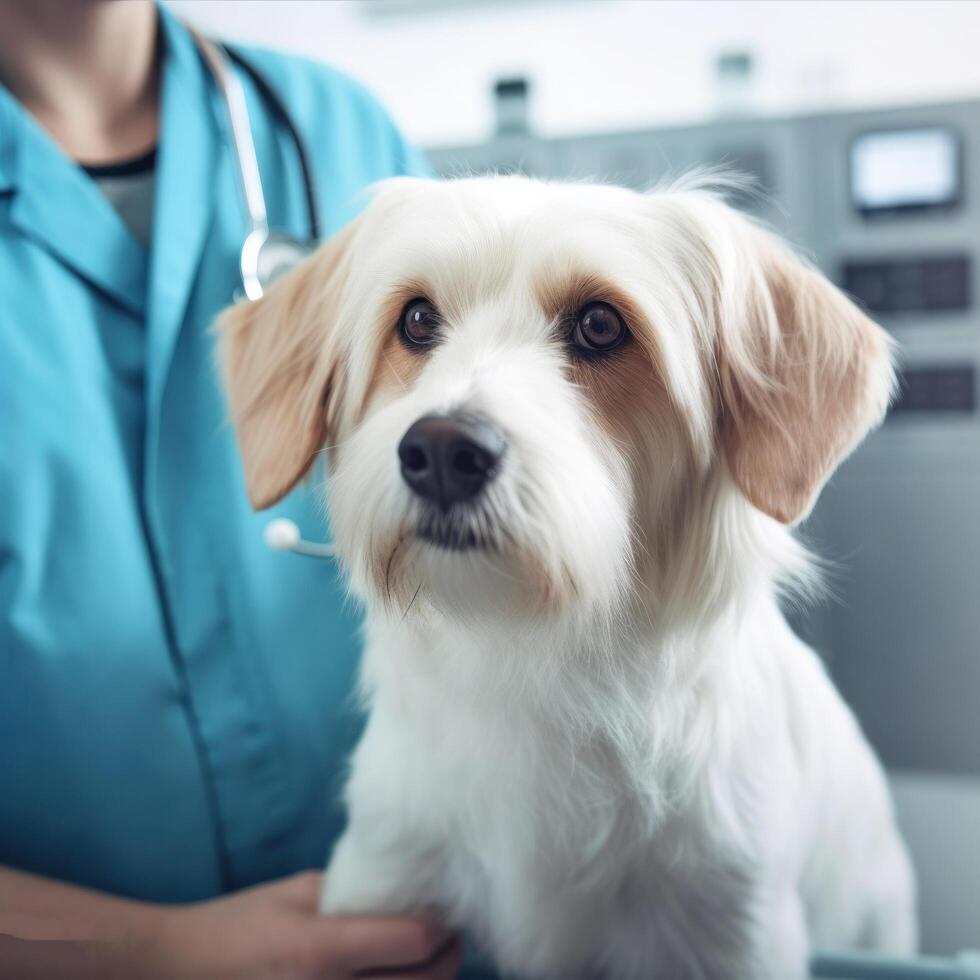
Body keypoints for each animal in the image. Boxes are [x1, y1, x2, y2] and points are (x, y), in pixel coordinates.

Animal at [220, 178, 920, 980]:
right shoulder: (384, 882)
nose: (442, 451)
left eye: (599, 324)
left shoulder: (725, 927)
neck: (531, 649)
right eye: (418, 319)